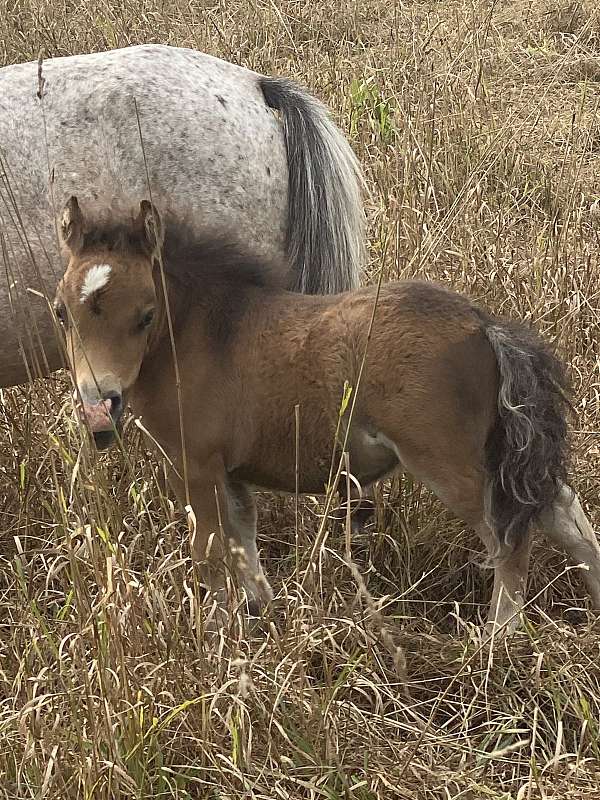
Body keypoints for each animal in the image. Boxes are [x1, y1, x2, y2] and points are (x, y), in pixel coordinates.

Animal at [52, 200, 600, 636]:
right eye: (60, 312)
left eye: (145, 315)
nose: (98, 408)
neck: (202, 336)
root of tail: (483, 325)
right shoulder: (231, 471)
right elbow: (243, 540)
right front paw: (262, 616)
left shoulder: (196, 464)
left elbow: (209, 551)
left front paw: (216, 636)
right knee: (564, 512)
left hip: (447, 461)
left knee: (508, 536)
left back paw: (496, 639)